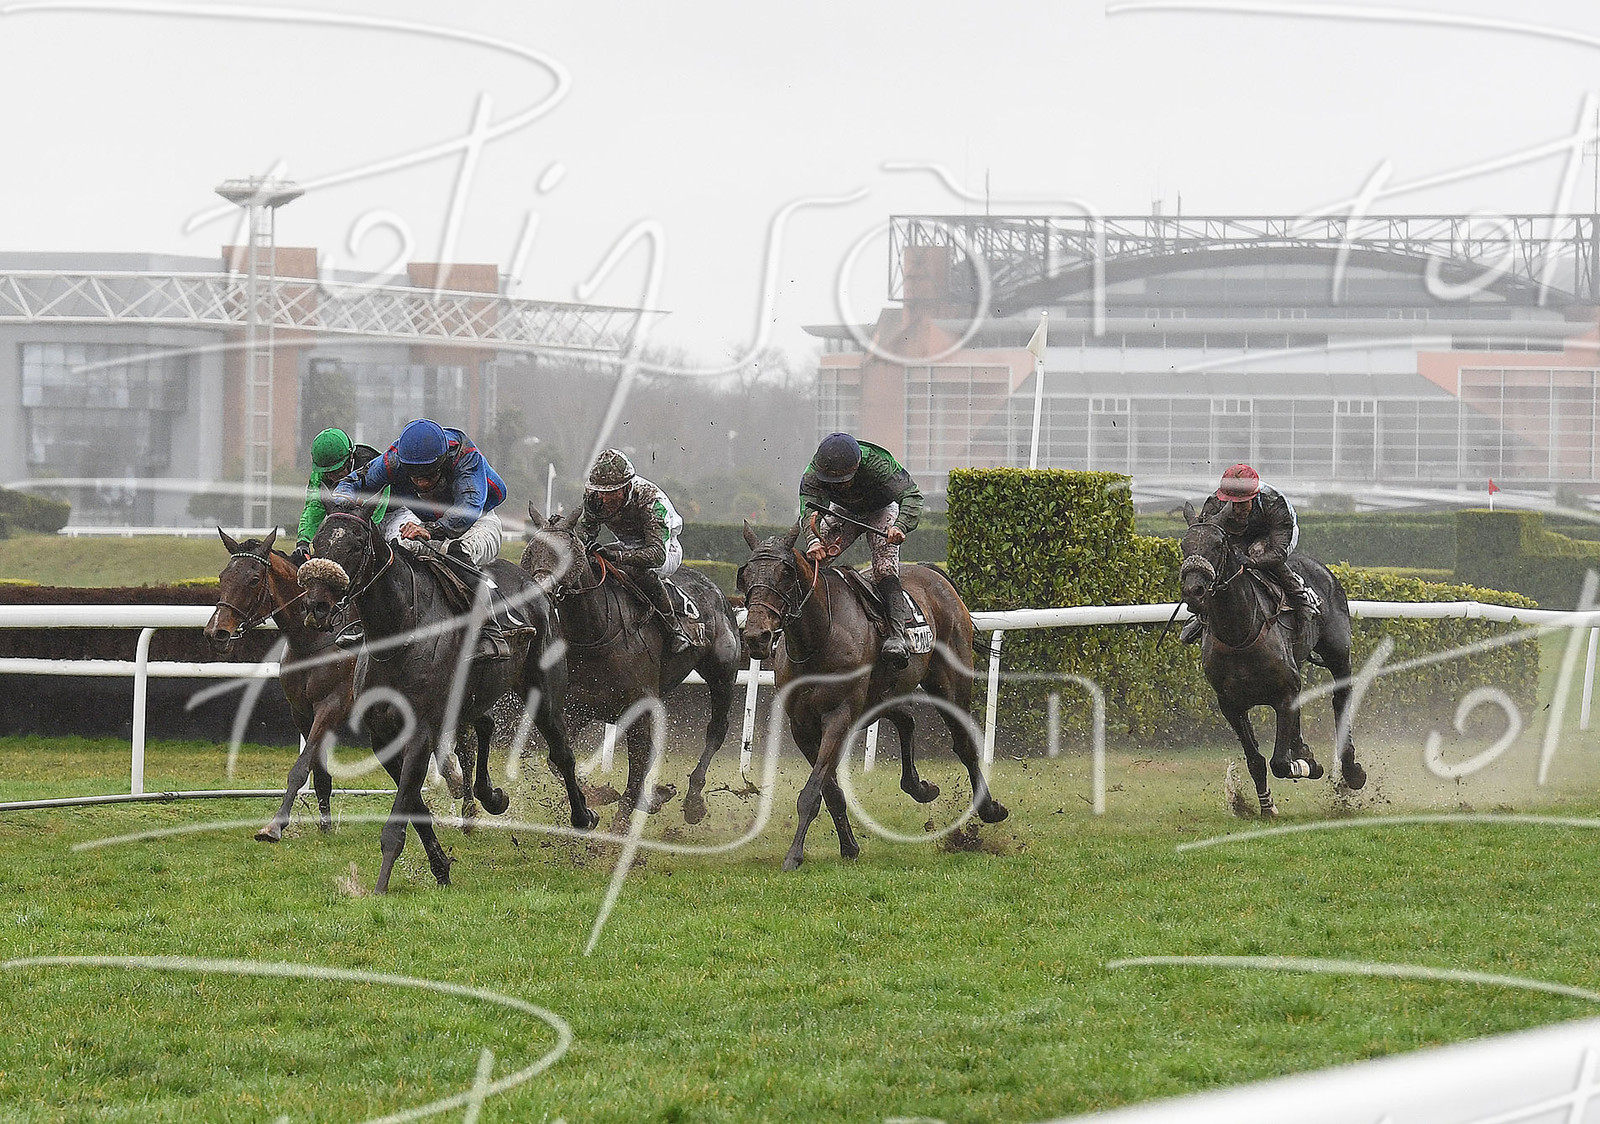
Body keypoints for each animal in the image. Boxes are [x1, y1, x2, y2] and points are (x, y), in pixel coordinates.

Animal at [204, 527, 350, 842]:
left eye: (253, 579)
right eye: (222, 576)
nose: (216, 633)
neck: (314, 638)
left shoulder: (332, 704)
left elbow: (300, 767)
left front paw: (275, 824)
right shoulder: (301, 711)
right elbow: (318, 770)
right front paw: (325, 824)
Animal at [297, 511, 596, 893]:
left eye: (354, 544)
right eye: (317, 542)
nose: (316, 606)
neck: (401, 631)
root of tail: (536, 587)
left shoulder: (420, 731)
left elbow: (401, 815)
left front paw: (381, 884)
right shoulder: (383, 737)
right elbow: (415, 807)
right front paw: (440, 867)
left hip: (544, 690)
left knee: (561, 753)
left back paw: (582, 816)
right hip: (473, 696)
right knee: (485, 726)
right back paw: (490, 796)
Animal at [521, 505, 743, 824]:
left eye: (565, 556)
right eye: (530, 552)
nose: (536, 595)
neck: (597, 633)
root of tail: (718, 592)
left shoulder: (640, 710)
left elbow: (636, 773)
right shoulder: (579, 707)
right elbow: (558, 761)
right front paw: (604, 798)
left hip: (722, 673)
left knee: (717, 728)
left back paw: (694, 800)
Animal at [738, 521, 1007, 870]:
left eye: (785, 573)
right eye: (746, 574)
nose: (756, 636)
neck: (818, 636)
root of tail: (935, 575)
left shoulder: (838, 715)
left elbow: (812, 792)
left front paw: (794, 855)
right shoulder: (801, 725)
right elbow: (830, 791)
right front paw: (849, 846)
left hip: (950, 684)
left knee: (963, 745)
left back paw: (989, 808)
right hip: (878, 697)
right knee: (906, 720)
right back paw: (919, 787)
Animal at [1178, 503, 1367, 816]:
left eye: (1217, 544)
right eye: (1184, 545)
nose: (1194, 591)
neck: (1239, 635)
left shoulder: (1283, 694)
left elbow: (1279, 763)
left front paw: (1308, 766)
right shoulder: (1231, 705)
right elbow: (1255, 760)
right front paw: (1267, 806)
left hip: (1338, 652)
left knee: (1341, 698)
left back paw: (1351, 771)